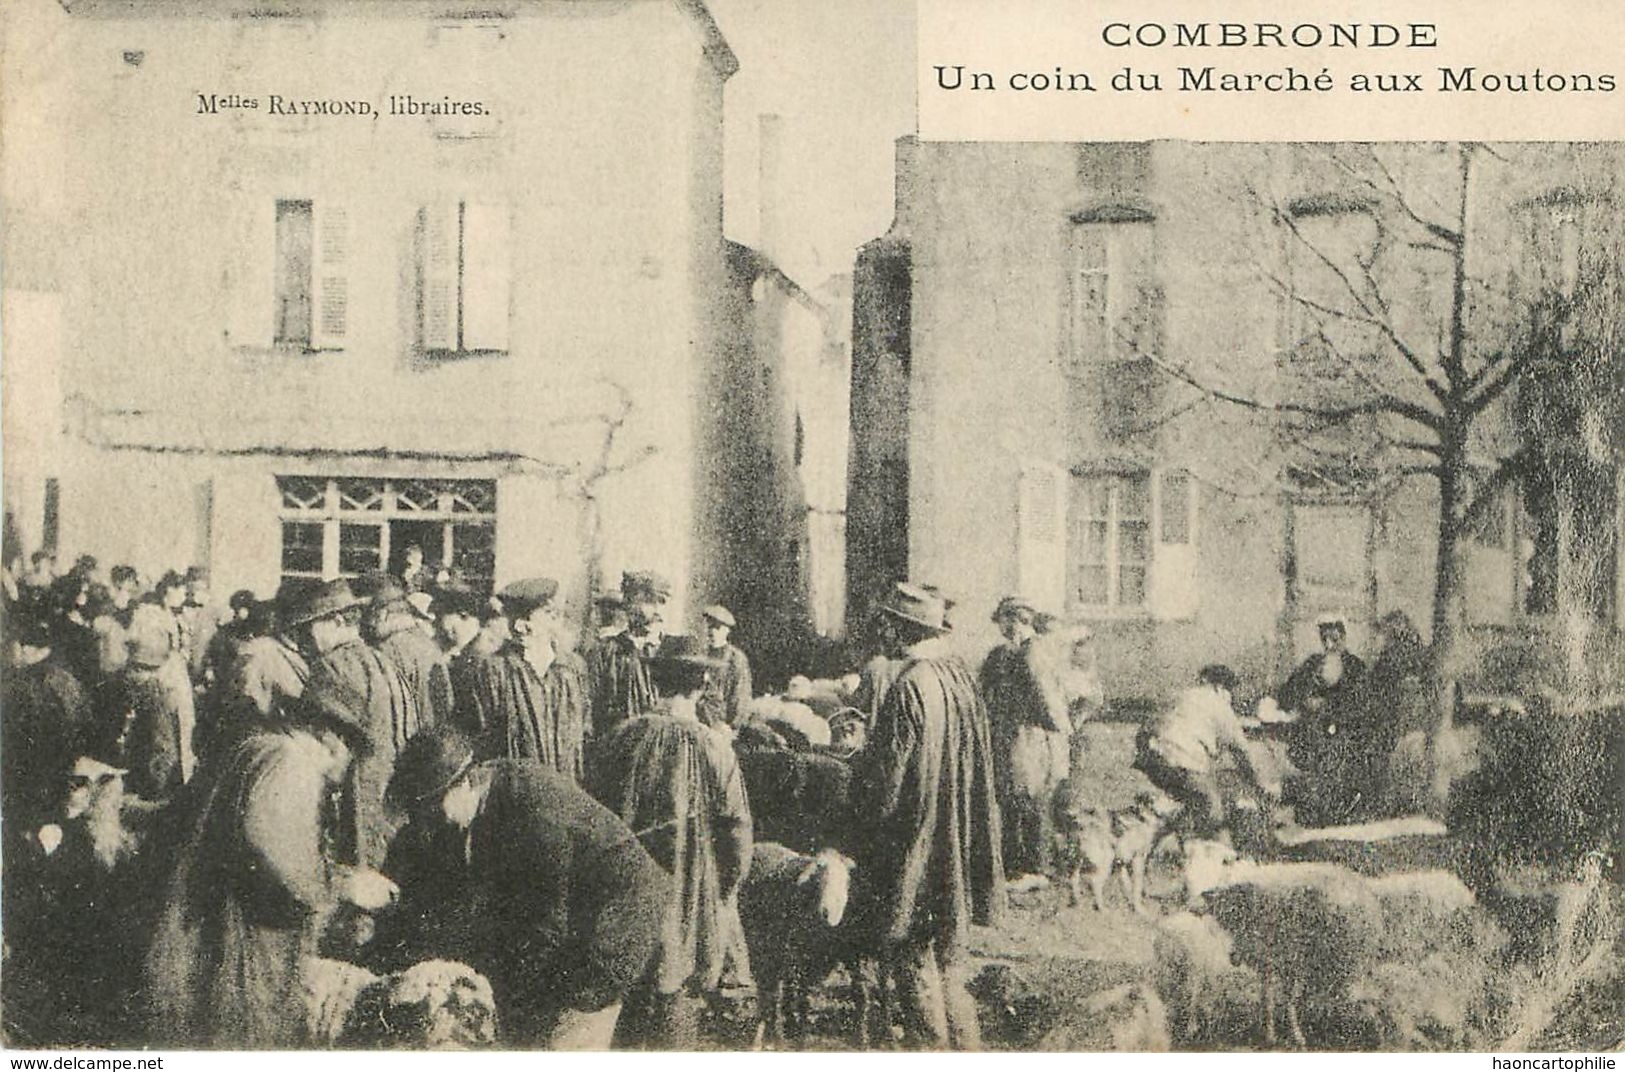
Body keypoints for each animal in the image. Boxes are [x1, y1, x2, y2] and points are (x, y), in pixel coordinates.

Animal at [741, 844, 864, 1039]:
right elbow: (802, 997)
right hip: (759, 942)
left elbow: (858, 992)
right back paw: (770, 1024)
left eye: (845, 881)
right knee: (767, 983)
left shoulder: (847, 953)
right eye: (819, 881)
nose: (828, 913)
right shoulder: (800, 956)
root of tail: (761, 845)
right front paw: (801, 1032)